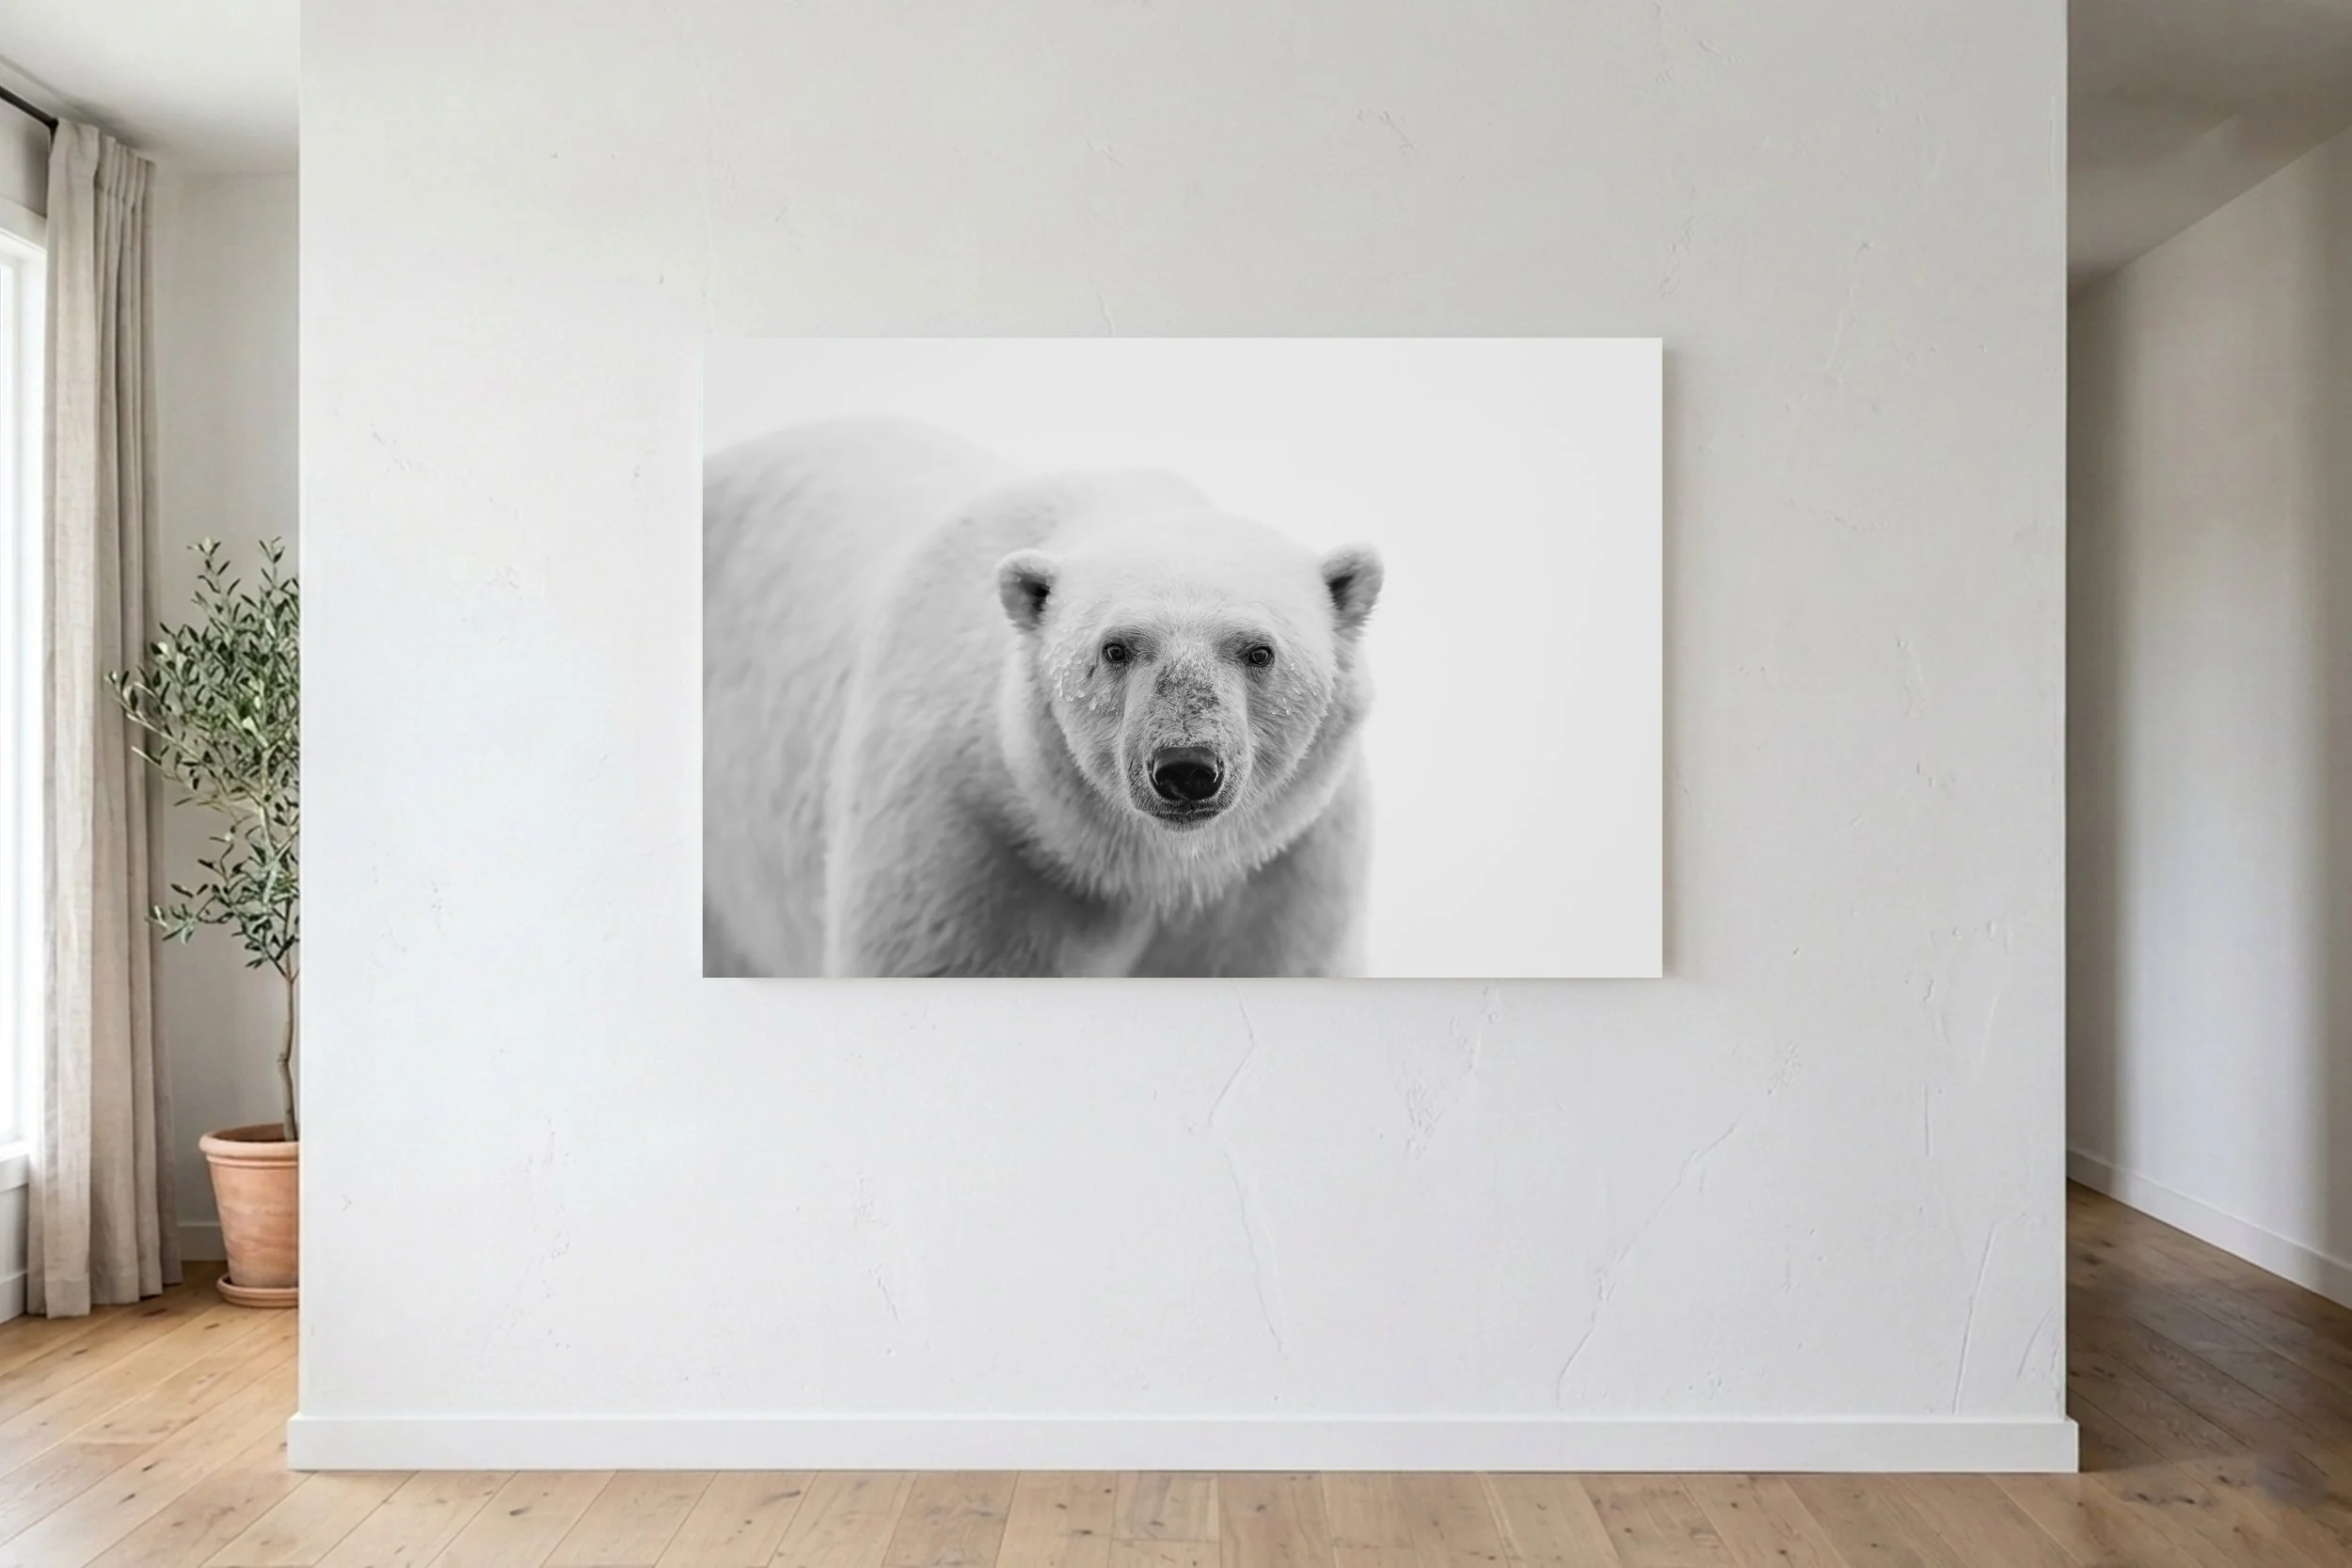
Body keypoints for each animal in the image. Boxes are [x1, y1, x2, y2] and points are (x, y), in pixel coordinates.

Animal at [703, 417, 1383, 977]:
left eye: (1259, 651)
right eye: (1116, 648)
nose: (1186, 768)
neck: (1151, 870)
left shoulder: (1282, 876)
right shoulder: (970, 842)